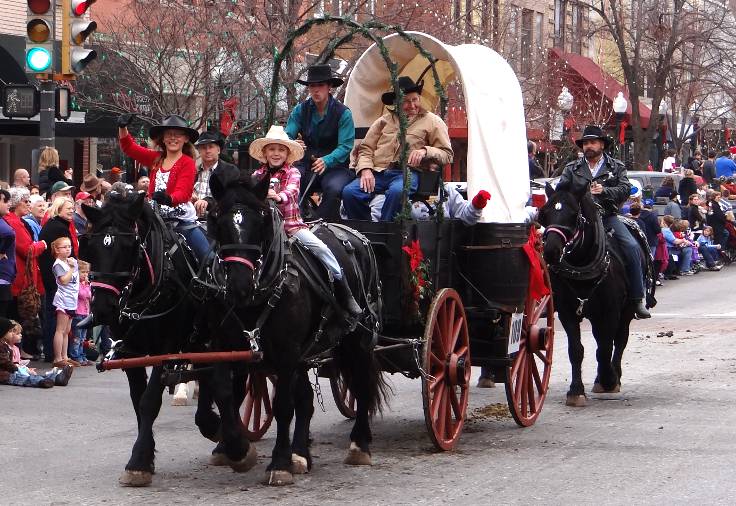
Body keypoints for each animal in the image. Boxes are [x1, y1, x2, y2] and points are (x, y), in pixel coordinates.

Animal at [81, 191, 256, 486]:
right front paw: (144, 457)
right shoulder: (131, 353)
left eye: (129, 246)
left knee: (234, 384)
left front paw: (138, 461)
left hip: (230, 339)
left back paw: (230, 441)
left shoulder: (168, 348)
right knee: (213, 381)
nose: (103, 308)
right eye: (92, 247)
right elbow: (138, 400)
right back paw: (215, 428)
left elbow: (150, 401)